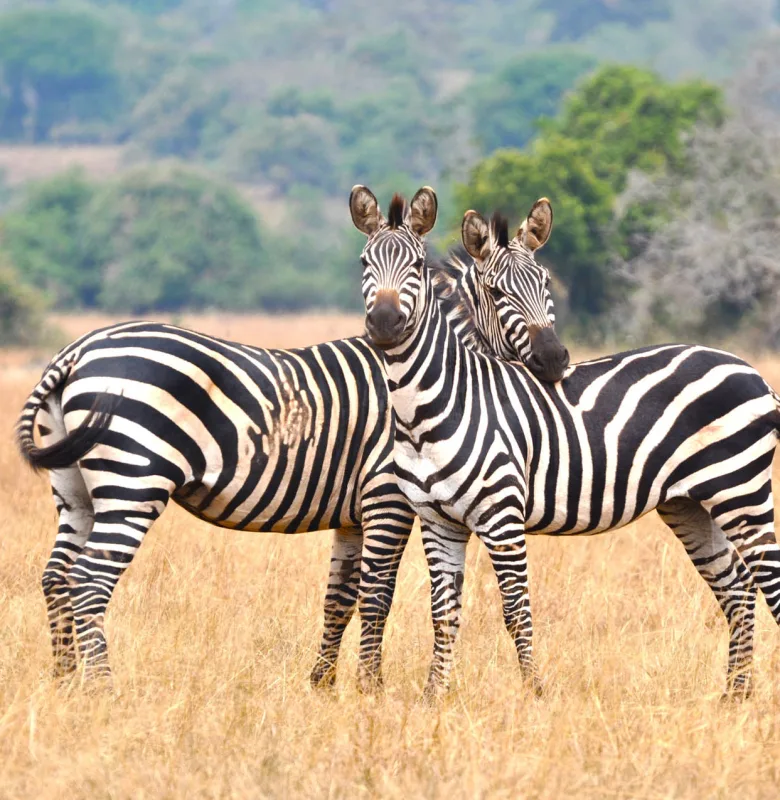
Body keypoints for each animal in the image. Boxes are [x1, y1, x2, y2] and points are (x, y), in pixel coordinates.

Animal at [16, 192, 563, 689]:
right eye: (496, 294)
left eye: (547, 285)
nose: (555, 359)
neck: (427, 375)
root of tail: (77, 349)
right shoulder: (386, 496)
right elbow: (377, 595)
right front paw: (371, 688)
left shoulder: (352, 514)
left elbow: (339, 599)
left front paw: (322, 683)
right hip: (133, 481)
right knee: (89, 582)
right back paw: (102, 687)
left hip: (78, 490)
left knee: (57, 577)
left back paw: (65, 683)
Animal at [351, 183, 780, 699]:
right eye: (363, 263)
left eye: (416, 266)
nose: (385, 324)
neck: (431, 408)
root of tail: (752, 371)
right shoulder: (438, 522)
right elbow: (443, 614)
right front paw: (434, 697)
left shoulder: (501, 518)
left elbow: (516, 611)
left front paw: (534, 694)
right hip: (692, 503)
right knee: (736, 587)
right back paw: (735, 696)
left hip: (741, 490)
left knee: (767, 583)